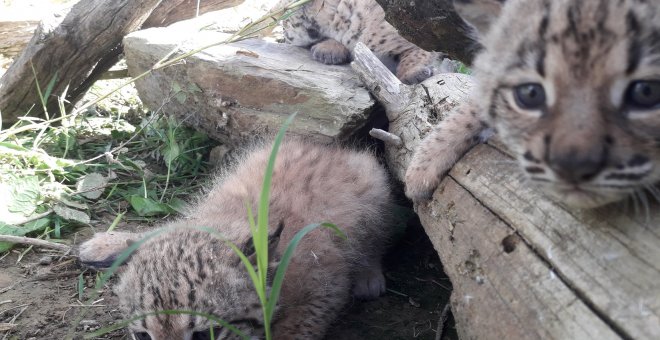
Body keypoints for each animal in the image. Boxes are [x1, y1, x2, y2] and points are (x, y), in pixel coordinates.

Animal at [80, 139, 394, 338]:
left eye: (204, 336)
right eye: (143, 337)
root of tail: (331, 150)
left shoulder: (325, 284)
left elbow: (294, 329)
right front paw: (113, 244)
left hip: (373, 182)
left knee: (378, 236)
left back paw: (368, 275)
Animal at [280, 0, 438, 84]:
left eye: (285, 19)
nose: (283, 33)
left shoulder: (419, 36)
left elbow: (414, 55)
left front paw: (412, 74)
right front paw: (329, 50)